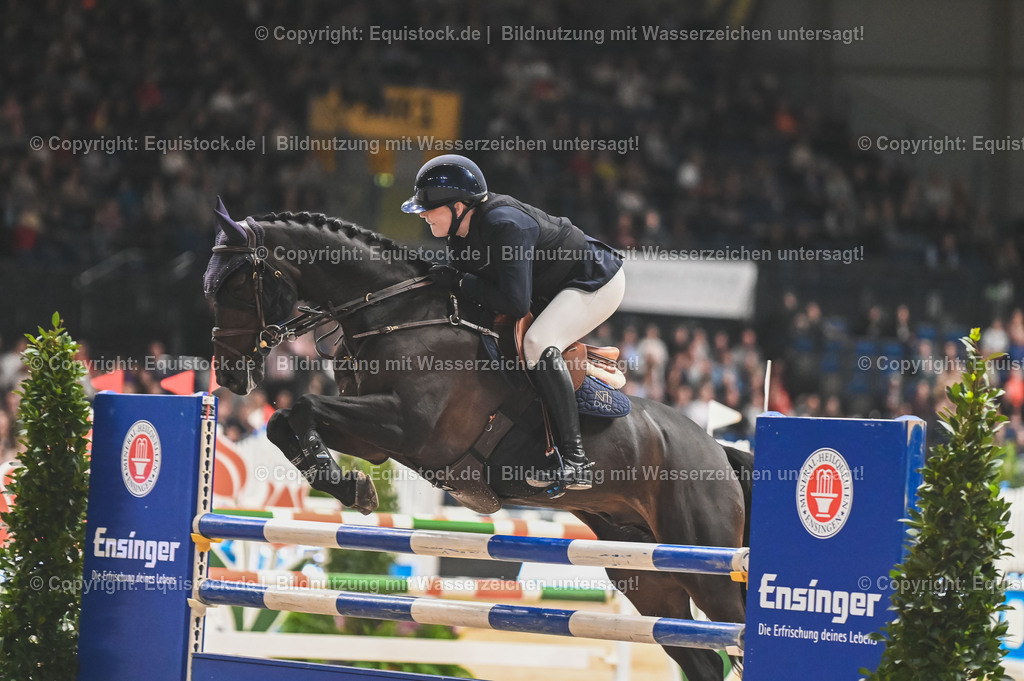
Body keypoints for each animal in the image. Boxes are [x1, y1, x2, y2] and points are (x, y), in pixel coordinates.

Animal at [204, 201, 752, 681]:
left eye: (235, 284)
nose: (228, 376)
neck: (396, 314)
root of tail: (717, 450)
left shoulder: (408, 427)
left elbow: (303, 407)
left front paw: (344, 481)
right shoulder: (381, 438)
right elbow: (283, 421)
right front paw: (345, 483)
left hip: (706, 561)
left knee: (734, 624)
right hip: (644, 569)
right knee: (701, 658)